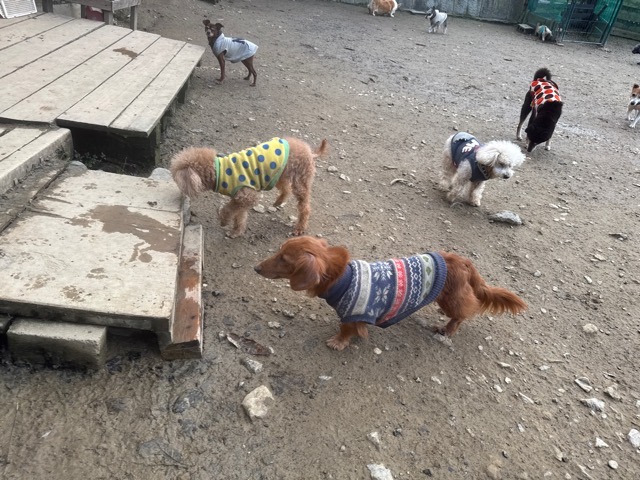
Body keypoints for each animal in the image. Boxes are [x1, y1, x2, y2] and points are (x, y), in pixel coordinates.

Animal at [170, 137, 328, 237]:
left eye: (176, 176)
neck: (218, 171)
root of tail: (309, 150)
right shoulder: (240, 199)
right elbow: (240, 216)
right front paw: (236, 232)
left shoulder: (246, 195)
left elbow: (228, 210)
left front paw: (223, 221)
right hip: (279, 175)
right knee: (286, 189)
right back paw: (278, 202)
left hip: (300, 180)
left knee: (304, 206)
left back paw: (299, 228)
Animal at [254, 236, 527, 351]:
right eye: (279, 251)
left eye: (284, 259)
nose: (255, 268)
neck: (342, 278)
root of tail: (463, 261)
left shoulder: (352, 314)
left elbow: (346, 330)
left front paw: (339, 342)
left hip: (450, 300)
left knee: (462, 313)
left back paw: (448, 329)